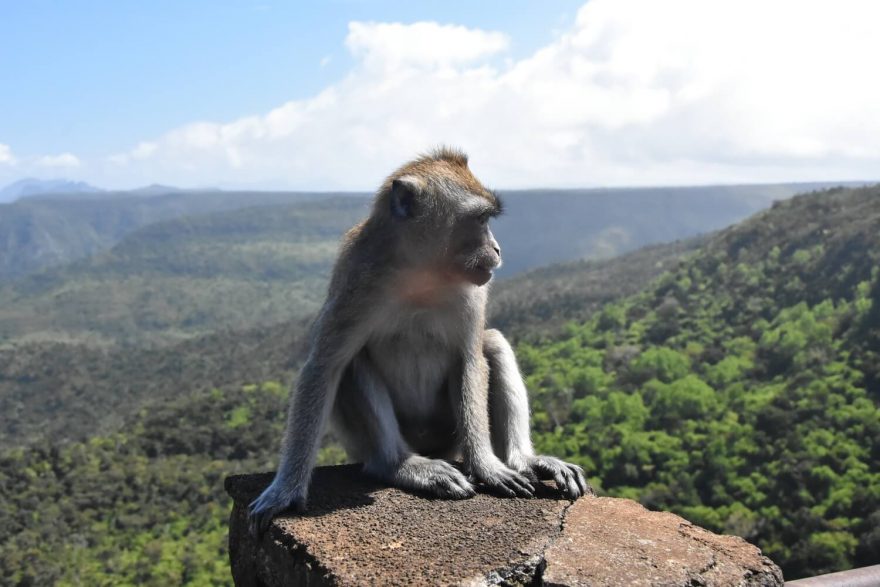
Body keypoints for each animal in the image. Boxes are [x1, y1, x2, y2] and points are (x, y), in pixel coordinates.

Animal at [248, 147, 592, 532]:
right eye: (480, 219)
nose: (497, 249)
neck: (422, 276)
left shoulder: (473, 293)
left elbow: (470, 359)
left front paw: (486, 466)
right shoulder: (356, 278)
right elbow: (324, 365)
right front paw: (284, 492)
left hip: (448, 435)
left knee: (492, 343)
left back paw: (523, 459)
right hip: (370, 442)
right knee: (354, 362)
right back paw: (399, 465)